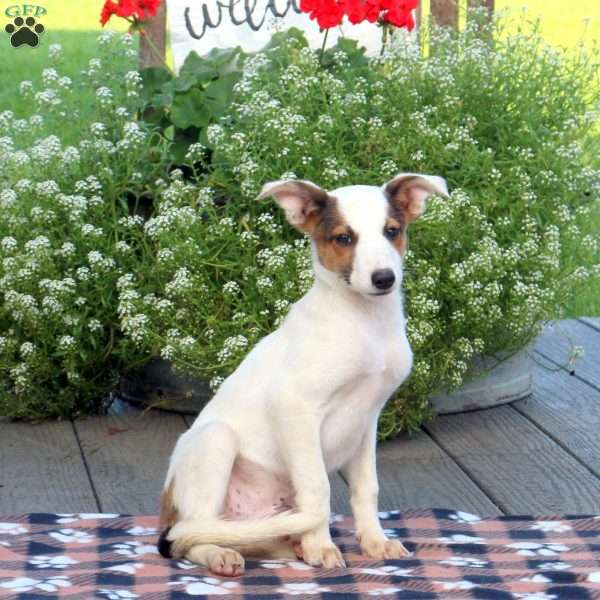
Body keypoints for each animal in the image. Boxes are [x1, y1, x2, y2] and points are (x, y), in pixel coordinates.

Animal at [157, 171, 448, 576]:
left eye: (392, 231)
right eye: (344, 238)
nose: (384, 279)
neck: (364, 322)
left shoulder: (367, 419)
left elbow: (367, 489)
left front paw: (374, 542)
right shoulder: (296, 410)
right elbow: (317, 489)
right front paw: (321, 547)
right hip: (215, 442)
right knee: (191, 534)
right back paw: (220, 554)